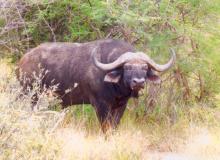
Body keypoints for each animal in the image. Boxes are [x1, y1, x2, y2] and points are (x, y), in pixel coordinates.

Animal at [16, 38, 175, 132]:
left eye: (144, 67)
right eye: (127, 67)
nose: (139, 82)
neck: (116, 88)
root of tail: (23, 61)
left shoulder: (121, 105)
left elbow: (114, 126)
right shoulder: (100, 105)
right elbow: (106, 127)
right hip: (31, 95)